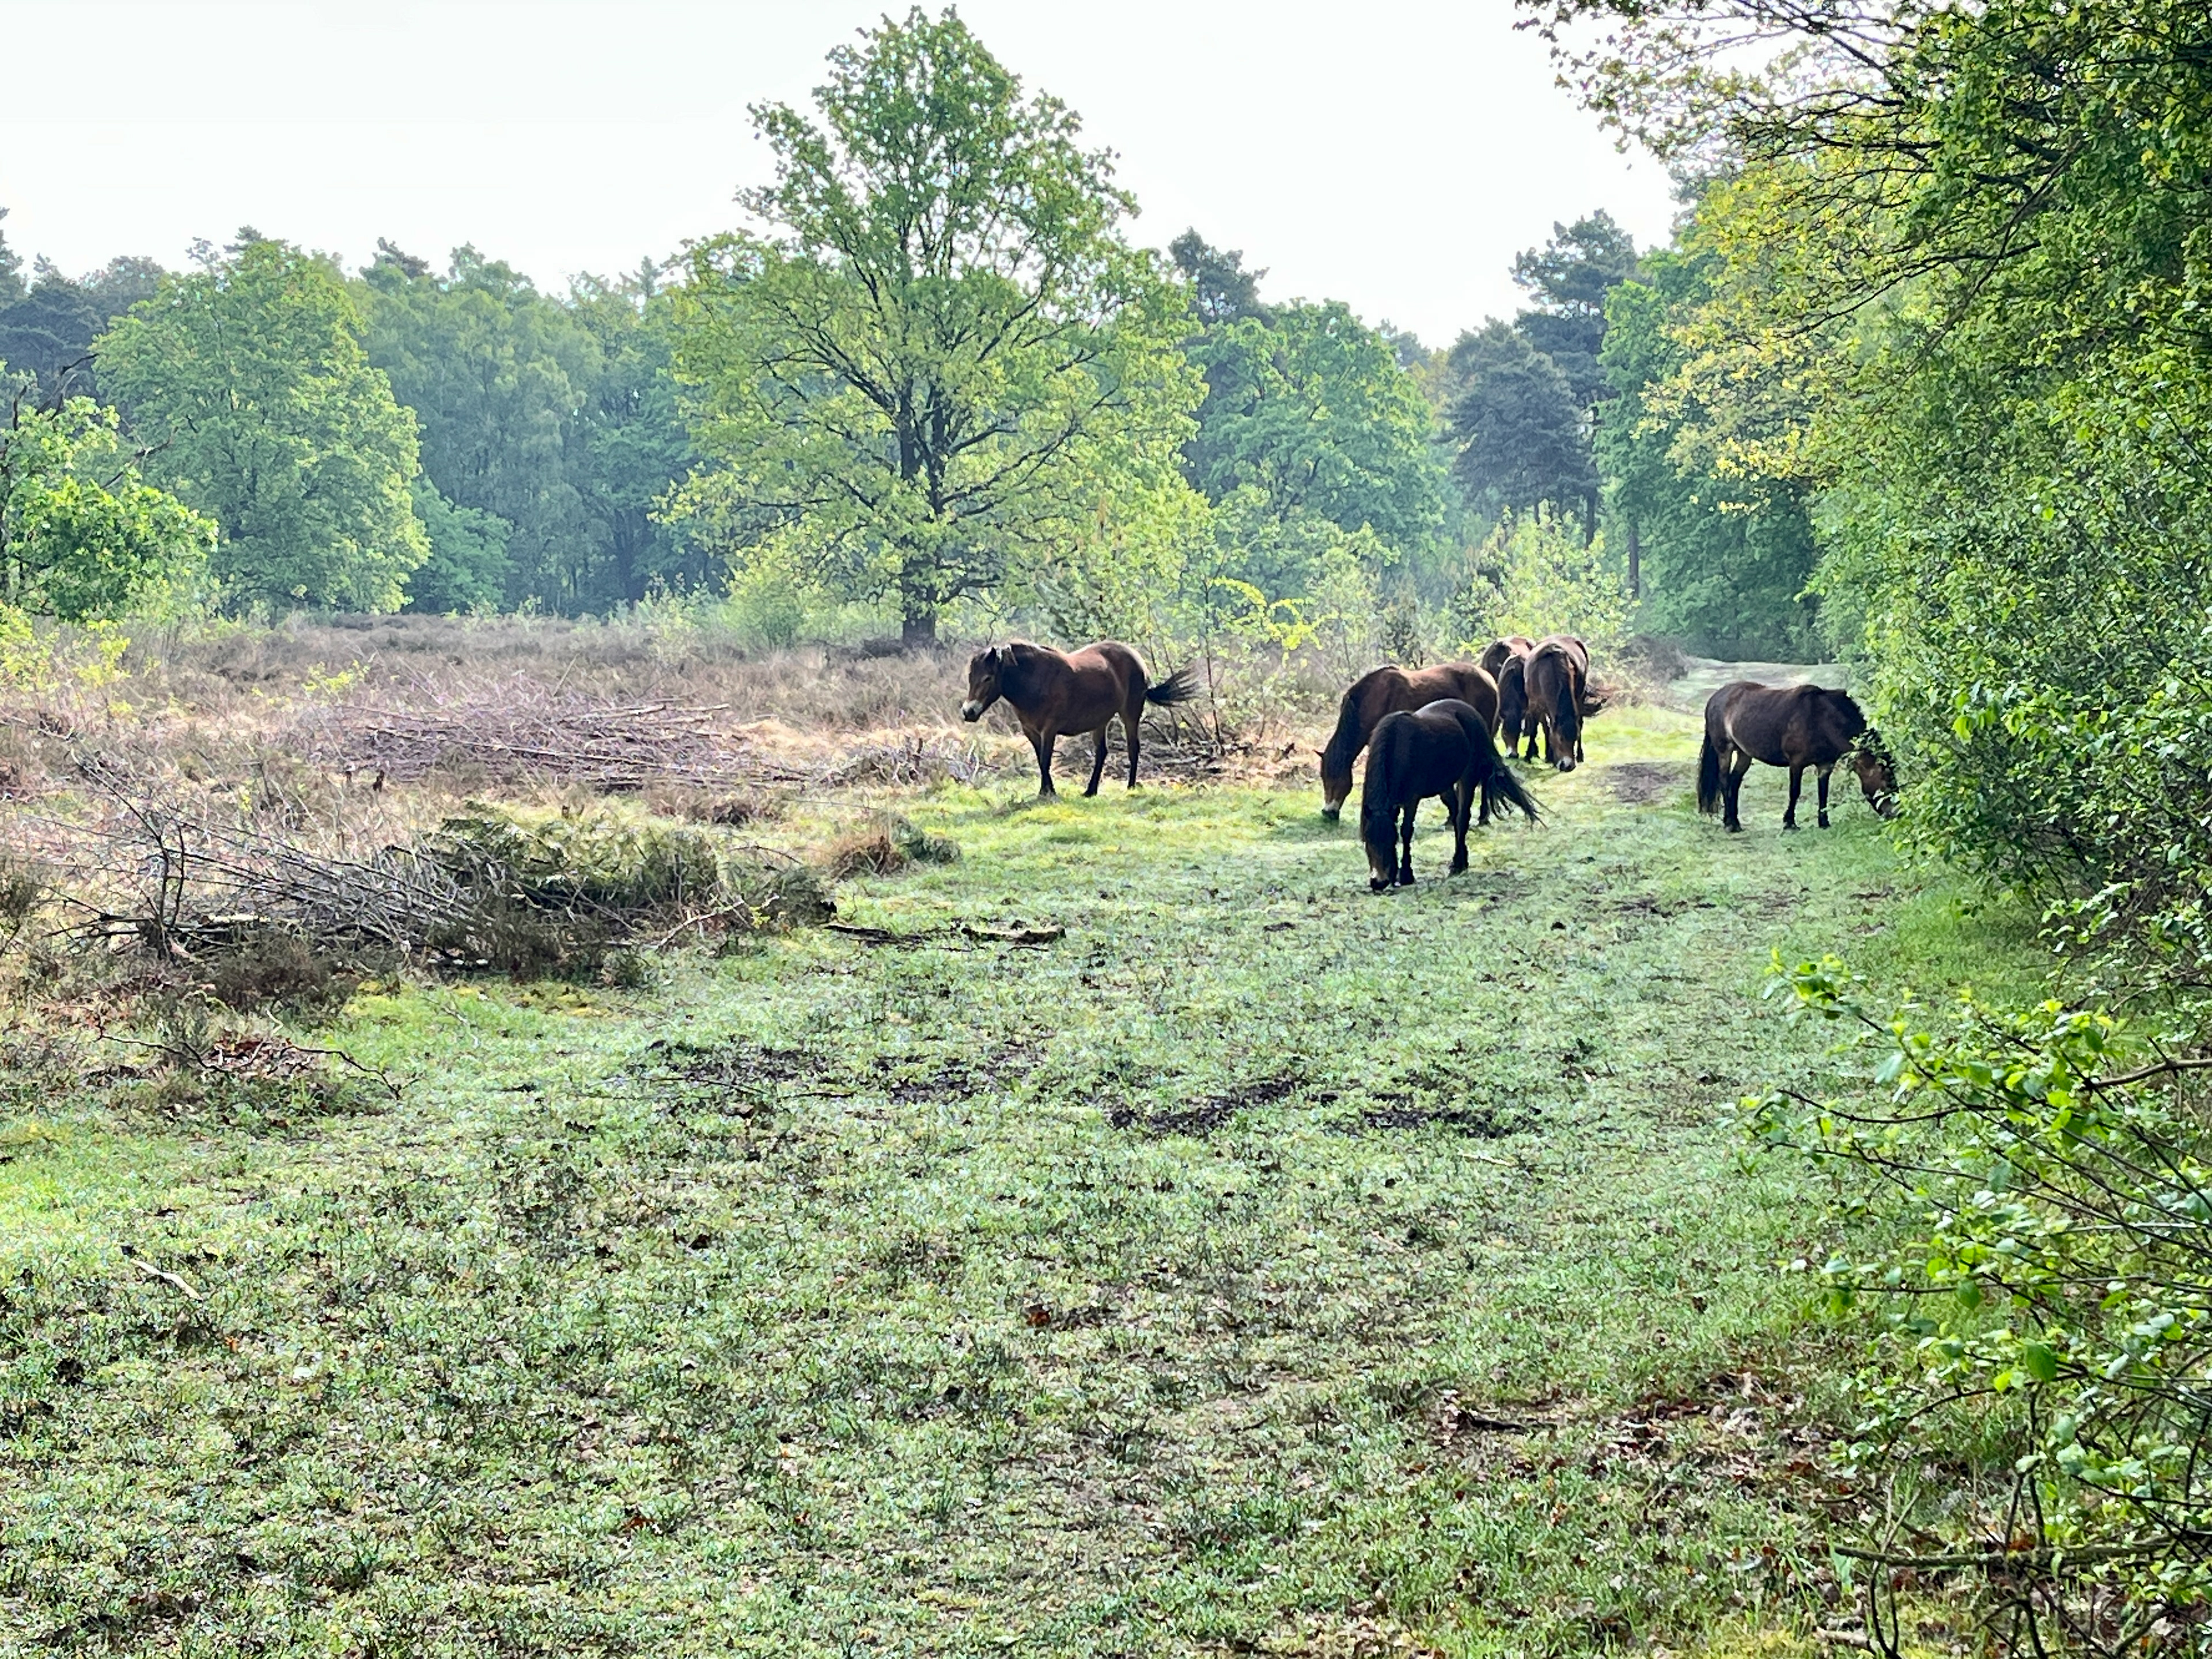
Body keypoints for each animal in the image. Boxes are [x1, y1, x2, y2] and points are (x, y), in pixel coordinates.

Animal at [961, 640, 1198, 797]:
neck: (1037, 681)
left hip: (1130, 714)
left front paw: (1048, 793)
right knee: (1102, 753)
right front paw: (1046, 790)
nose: (968, 712)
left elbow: (1046, 760)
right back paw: (1091, 790)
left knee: (1133, 748)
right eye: (971, 676)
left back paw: (1130, 787)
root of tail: (1135, 656)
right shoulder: (1031, 732)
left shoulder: (1049, 730)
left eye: (988, 678)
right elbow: (1040, 760)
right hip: (1101, 721)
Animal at [1319, 662, 1499, 819]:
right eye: (1323, 777)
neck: (1374, 700)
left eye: (1337, 776)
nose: (1328, 812)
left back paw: (1483, 815)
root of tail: (1488, 678)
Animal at [1360, 699, 1540, 891]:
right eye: (1368, 841)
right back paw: (1462, 861)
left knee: (1462, 819)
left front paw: (1406, 875)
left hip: (1467, 778)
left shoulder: (1411, 801)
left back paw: (1457, 865)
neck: (1398, 748)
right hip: (1446, 786)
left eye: (1389, 840)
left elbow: (1406, 831)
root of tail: (1472, 714)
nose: (1378, 882)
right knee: (1455, 815)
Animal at [1521, 635, 1593, 772]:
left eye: (1574, 738)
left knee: (1580, 721)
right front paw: (1528, 756)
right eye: (1560, 738)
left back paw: (1579, 756)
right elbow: (1535, 730)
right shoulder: (1534, 705)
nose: (1569, 766)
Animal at [1696, 681, 1899, 832]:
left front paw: (1824, 822)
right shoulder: (1796, 763)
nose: (1896, 814)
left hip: (1744, 753)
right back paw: (1729, 824)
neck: (1821, 719)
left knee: (1734, 781)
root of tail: (1715, 698)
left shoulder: (1826, 765)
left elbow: (1823, 792)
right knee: (1724, 781)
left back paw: (1734, 821)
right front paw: (1790, 823)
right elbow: (1795, 792)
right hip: (1725, 750)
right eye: (1886, 780)